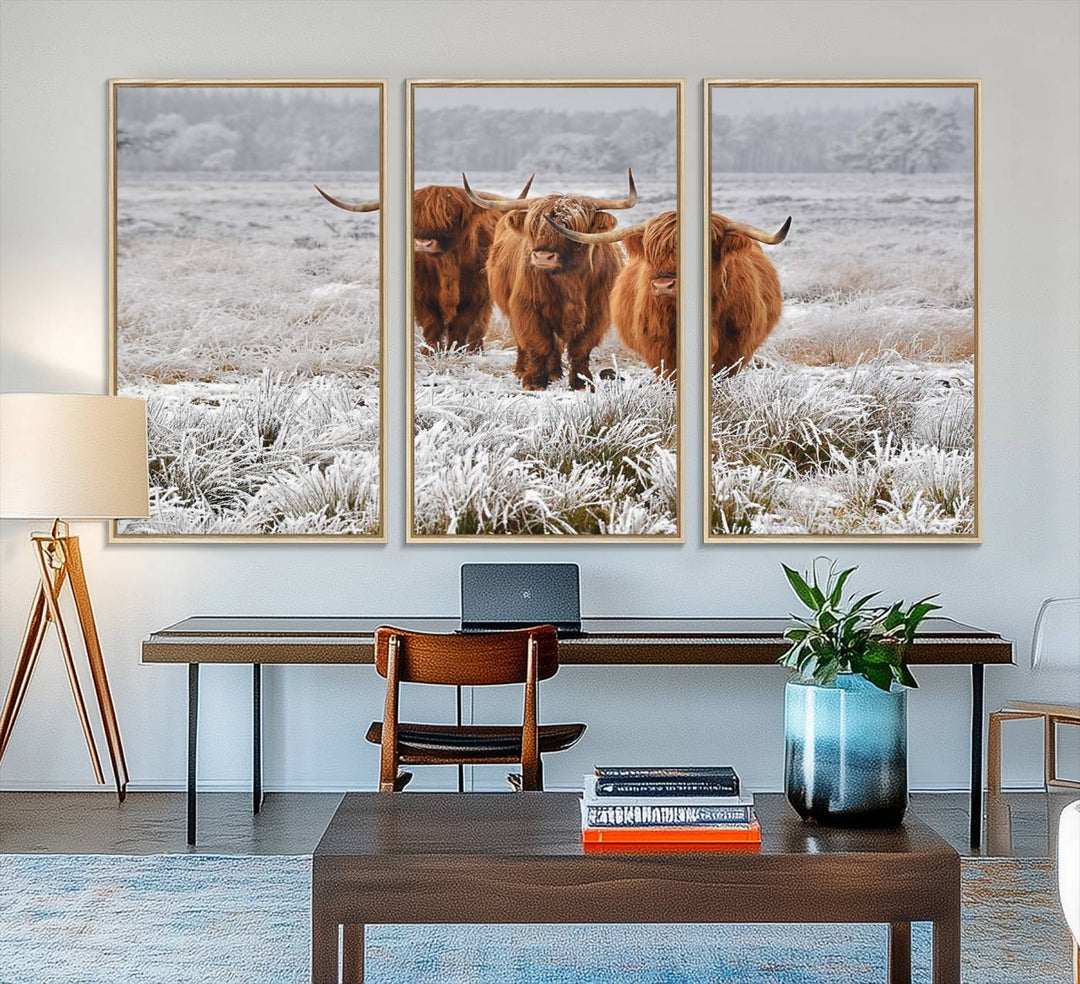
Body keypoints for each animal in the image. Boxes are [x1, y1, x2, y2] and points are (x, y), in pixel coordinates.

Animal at [313, 176, 531, 349]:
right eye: (415, 216)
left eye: (451, 215)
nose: (423, 244)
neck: (447, 266)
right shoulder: (422, 295)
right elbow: (432, 324)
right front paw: (430, 352)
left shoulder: (475, 295)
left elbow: (461, 327)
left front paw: (455, 351)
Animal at [462, 171, 630, 391]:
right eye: (534, 226)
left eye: (571, 226)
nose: (543, 256)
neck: (570, 281)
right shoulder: (527, 307)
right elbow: (538, 343)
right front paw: (534, 381)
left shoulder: (598, 313)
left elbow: (581, 348)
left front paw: (582, 382)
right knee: (526, 342)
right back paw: (523, 370)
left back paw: (555, 373)